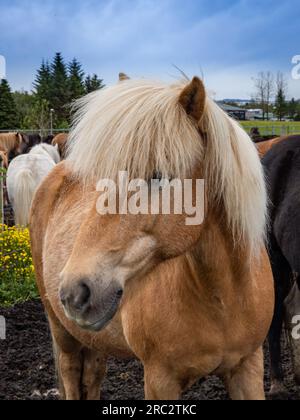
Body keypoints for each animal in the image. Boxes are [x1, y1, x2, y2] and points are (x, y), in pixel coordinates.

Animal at [30, 76, 274, 400]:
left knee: (92, 375)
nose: (74, 291)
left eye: (158, 175)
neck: (223, 298)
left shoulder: (247, 367)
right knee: (71, 374)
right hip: (62, 331)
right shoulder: (160, 379)